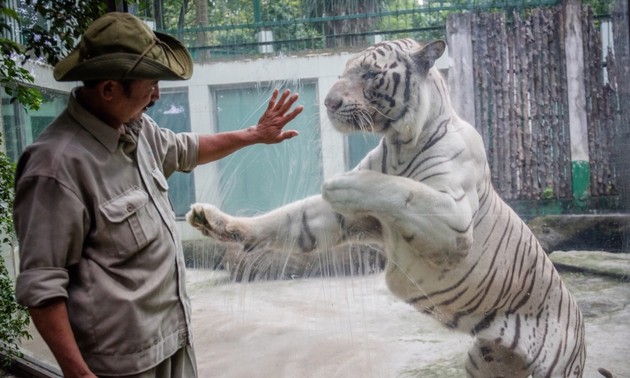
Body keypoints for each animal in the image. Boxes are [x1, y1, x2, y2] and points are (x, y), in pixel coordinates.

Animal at [186, 39, 588, 378]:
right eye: (345, 71)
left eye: (369, 73)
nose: (329, 103)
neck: (399, 142)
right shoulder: (343, 219)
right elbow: (287, 219)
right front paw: (214, 221)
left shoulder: (454, 220)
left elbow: (401, 189)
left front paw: (341, 183)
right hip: (483, 360)